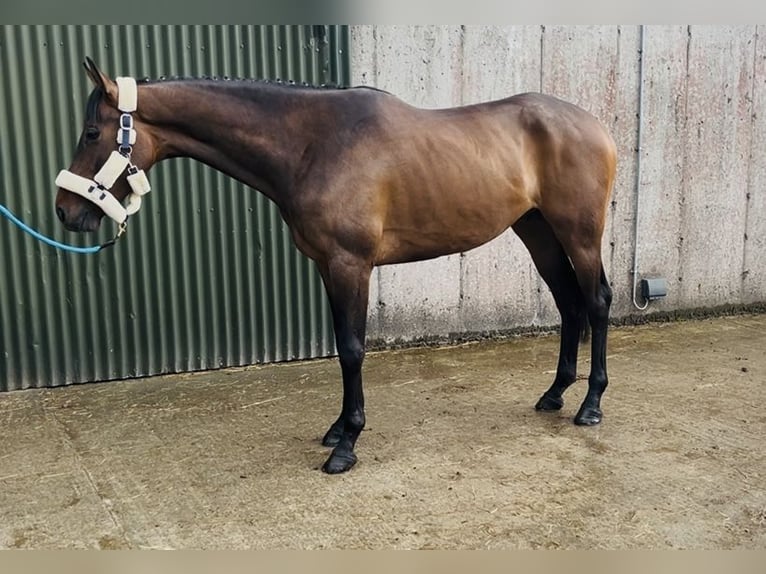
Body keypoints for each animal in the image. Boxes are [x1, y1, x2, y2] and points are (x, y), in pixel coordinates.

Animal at [55, 58, 616, 474]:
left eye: (91, 132)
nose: (65, 211)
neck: (312, 142)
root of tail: (594, 125)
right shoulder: (328, 266)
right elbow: (342, 345)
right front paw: (337, 429)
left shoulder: (351, 264)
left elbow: (351, 349)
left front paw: (347, 445)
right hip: (537, 231)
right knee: (568, 304)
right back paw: (554, 395)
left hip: (579, 234)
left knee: (596, 302)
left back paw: (590, 406)